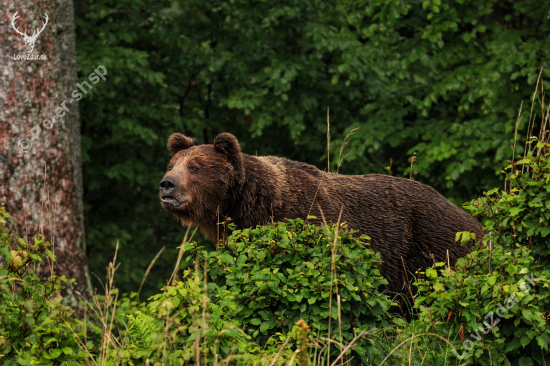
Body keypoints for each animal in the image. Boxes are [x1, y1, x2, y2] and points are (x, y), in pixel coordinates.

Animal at [158, 133, 484, 298]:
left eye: (196, 167)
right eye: (173, 164)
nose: (166, 184)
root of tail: (475, 223)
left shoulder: (306, 223)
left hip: (431, 247)